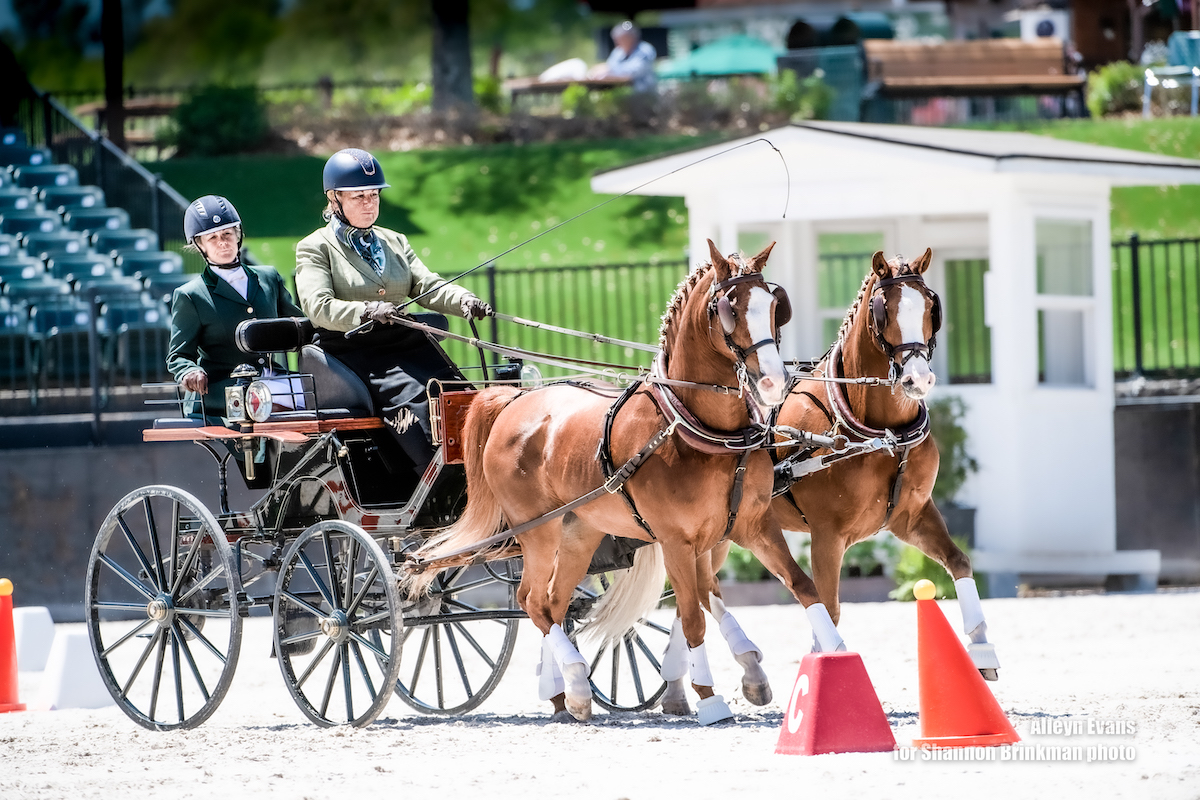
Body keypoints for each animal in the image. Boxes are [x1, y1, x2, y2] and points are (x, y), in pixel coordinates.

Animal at [408, 241, 849, 724]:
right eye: (729, 309)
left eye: (775, 306)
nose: (773, 382)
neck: (696, 430)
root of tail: (513, 400)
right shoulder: (676, 541)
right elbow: (692, 616)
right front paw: (708, 698)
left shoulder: (753, 526)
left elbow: (804, 589)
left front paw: (836, 658)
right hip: (537, 531)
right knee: (530, 600)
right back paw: (575, 682)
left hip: (579, 532)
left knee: (553, 602)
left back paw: (567, 693)